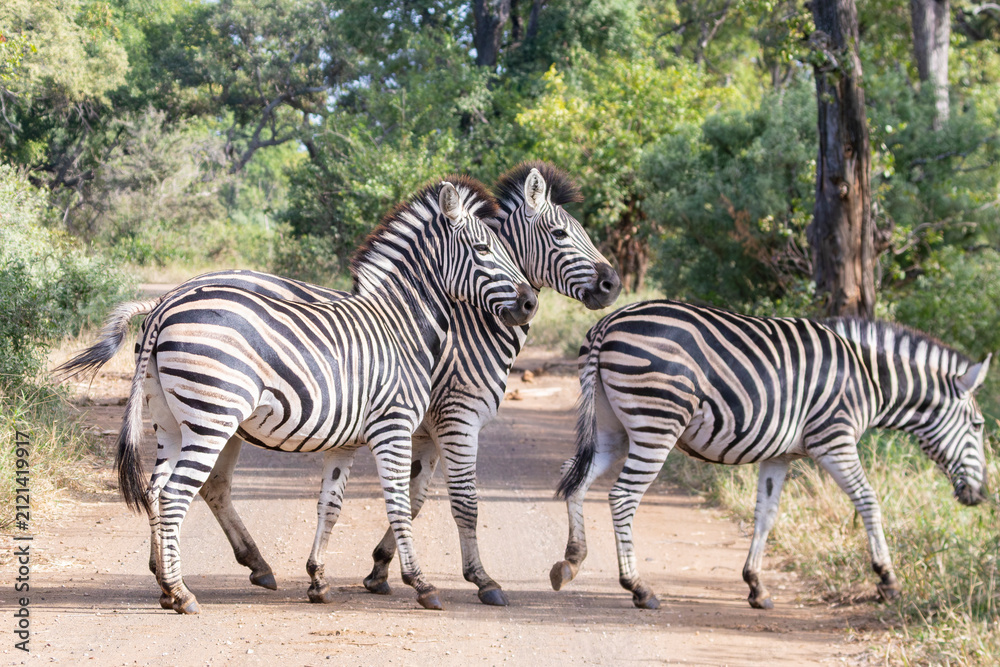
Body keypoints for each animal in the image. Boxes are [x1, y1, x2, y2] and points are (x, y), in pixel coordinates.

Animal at [57, 163, 621, 608]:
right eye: (560, 236)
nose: (612, 284)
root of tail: (164, 303)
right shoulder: (446, 421)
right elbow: (447, 501)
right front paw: (467, 582)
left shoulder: (399, 432)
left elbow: (377, 501)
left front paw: (357, 574)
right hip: (215, 417)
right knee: (183, 492)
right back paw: (185, 592)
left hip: (175, 420)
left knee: (164, 489)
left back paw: (183, 576)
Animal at [549, 300, 990, 610]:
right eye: (979, 425)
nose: (981, 496)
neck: (868, 377)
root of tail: (608, 322)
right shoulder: (834, 439)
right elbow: (868, 501)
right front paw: (887, 579)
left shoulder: (780, 455)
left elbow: (766, 514)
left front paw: (756, 586)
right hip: (657, 422)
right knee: (623, 497)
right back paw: (639, 588)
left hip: (613, 429)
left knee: (575, 475)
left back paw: (571, 561)